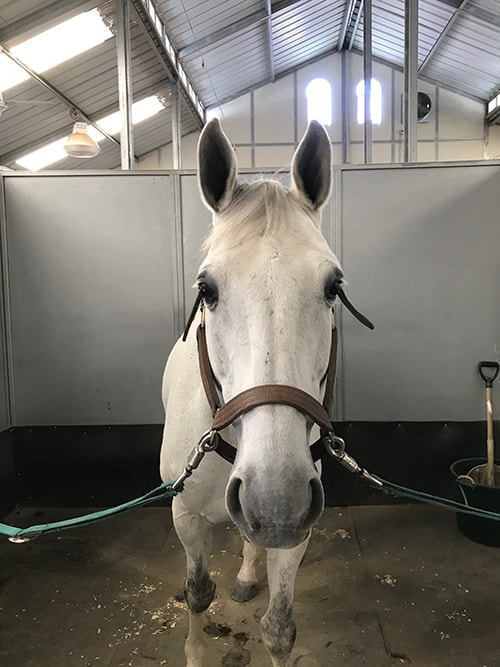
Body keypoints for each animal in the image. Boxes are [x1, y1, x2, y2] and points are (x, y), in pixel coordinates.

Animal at [160, 117, 343, 666]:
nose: (275, 501)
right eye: (207, 289)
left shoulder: (296, 529)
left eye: (333, 286)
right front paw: (195, 652)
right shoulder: (184, 516)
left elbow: (279, 628)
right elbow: (197, 591)